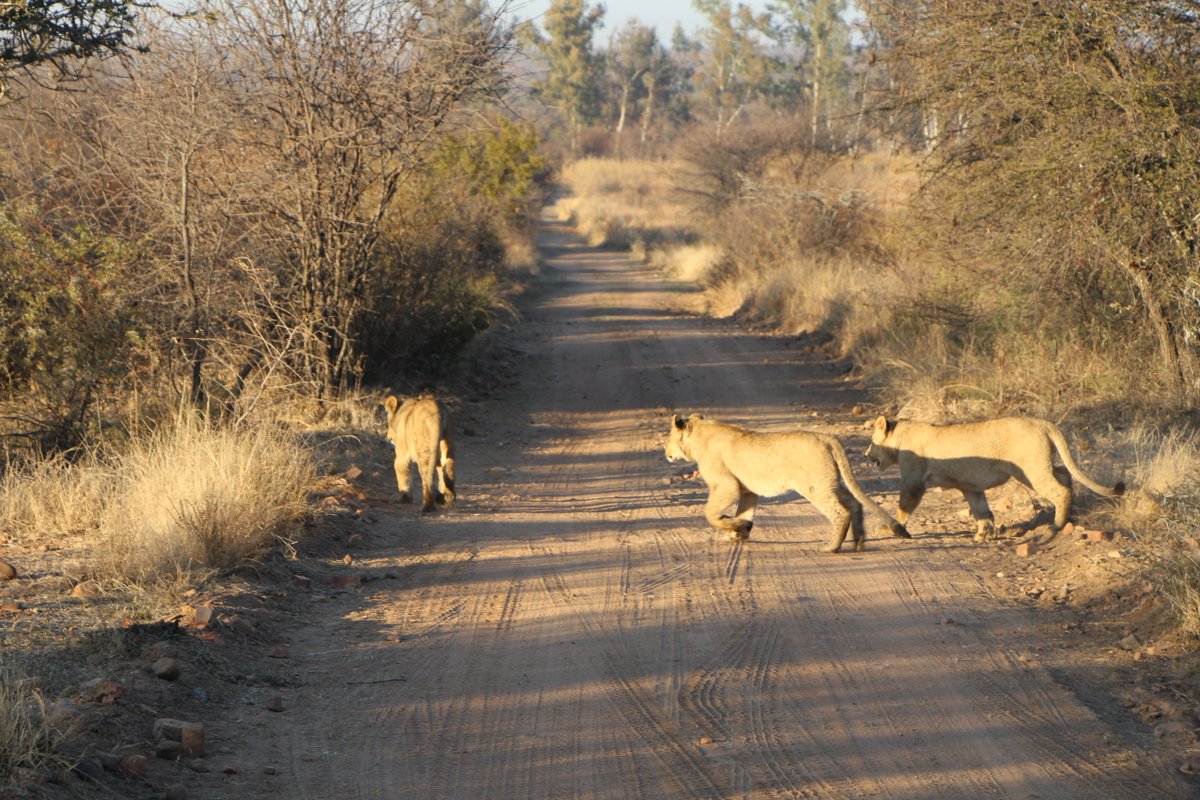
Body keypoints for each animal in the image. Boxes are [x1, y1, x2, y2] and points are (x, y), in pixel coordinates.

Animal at [664, 414, 910, 551]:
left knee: (841, 512)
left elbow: (710, 514)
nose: (665, 451)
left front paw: (733, 526)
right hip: (829, 482)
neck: (699, 435)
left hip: (814, 486)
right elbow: (745, 512)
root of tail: (827, 437)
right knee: (855, 503)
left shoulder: (727, 485)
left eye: (668, 437)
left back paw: (832, 547)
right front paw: (740, 530)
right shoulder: (747, 490)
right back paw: (858, 541)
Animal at [866, 415, 1125, 539]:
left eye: (872, 442)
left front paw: (891, 529)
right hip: (1034, 468)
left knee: (1060, 489)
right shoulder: (969, 485)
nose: (867, 454)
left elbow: (904, 506)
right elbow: (981, 509)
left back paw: (1056, 526)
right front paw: (984, 534)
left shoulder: (913, 480)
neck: (900, 436)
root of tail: (1043, 422)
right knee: (1063, 474)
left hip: (1028, 469)